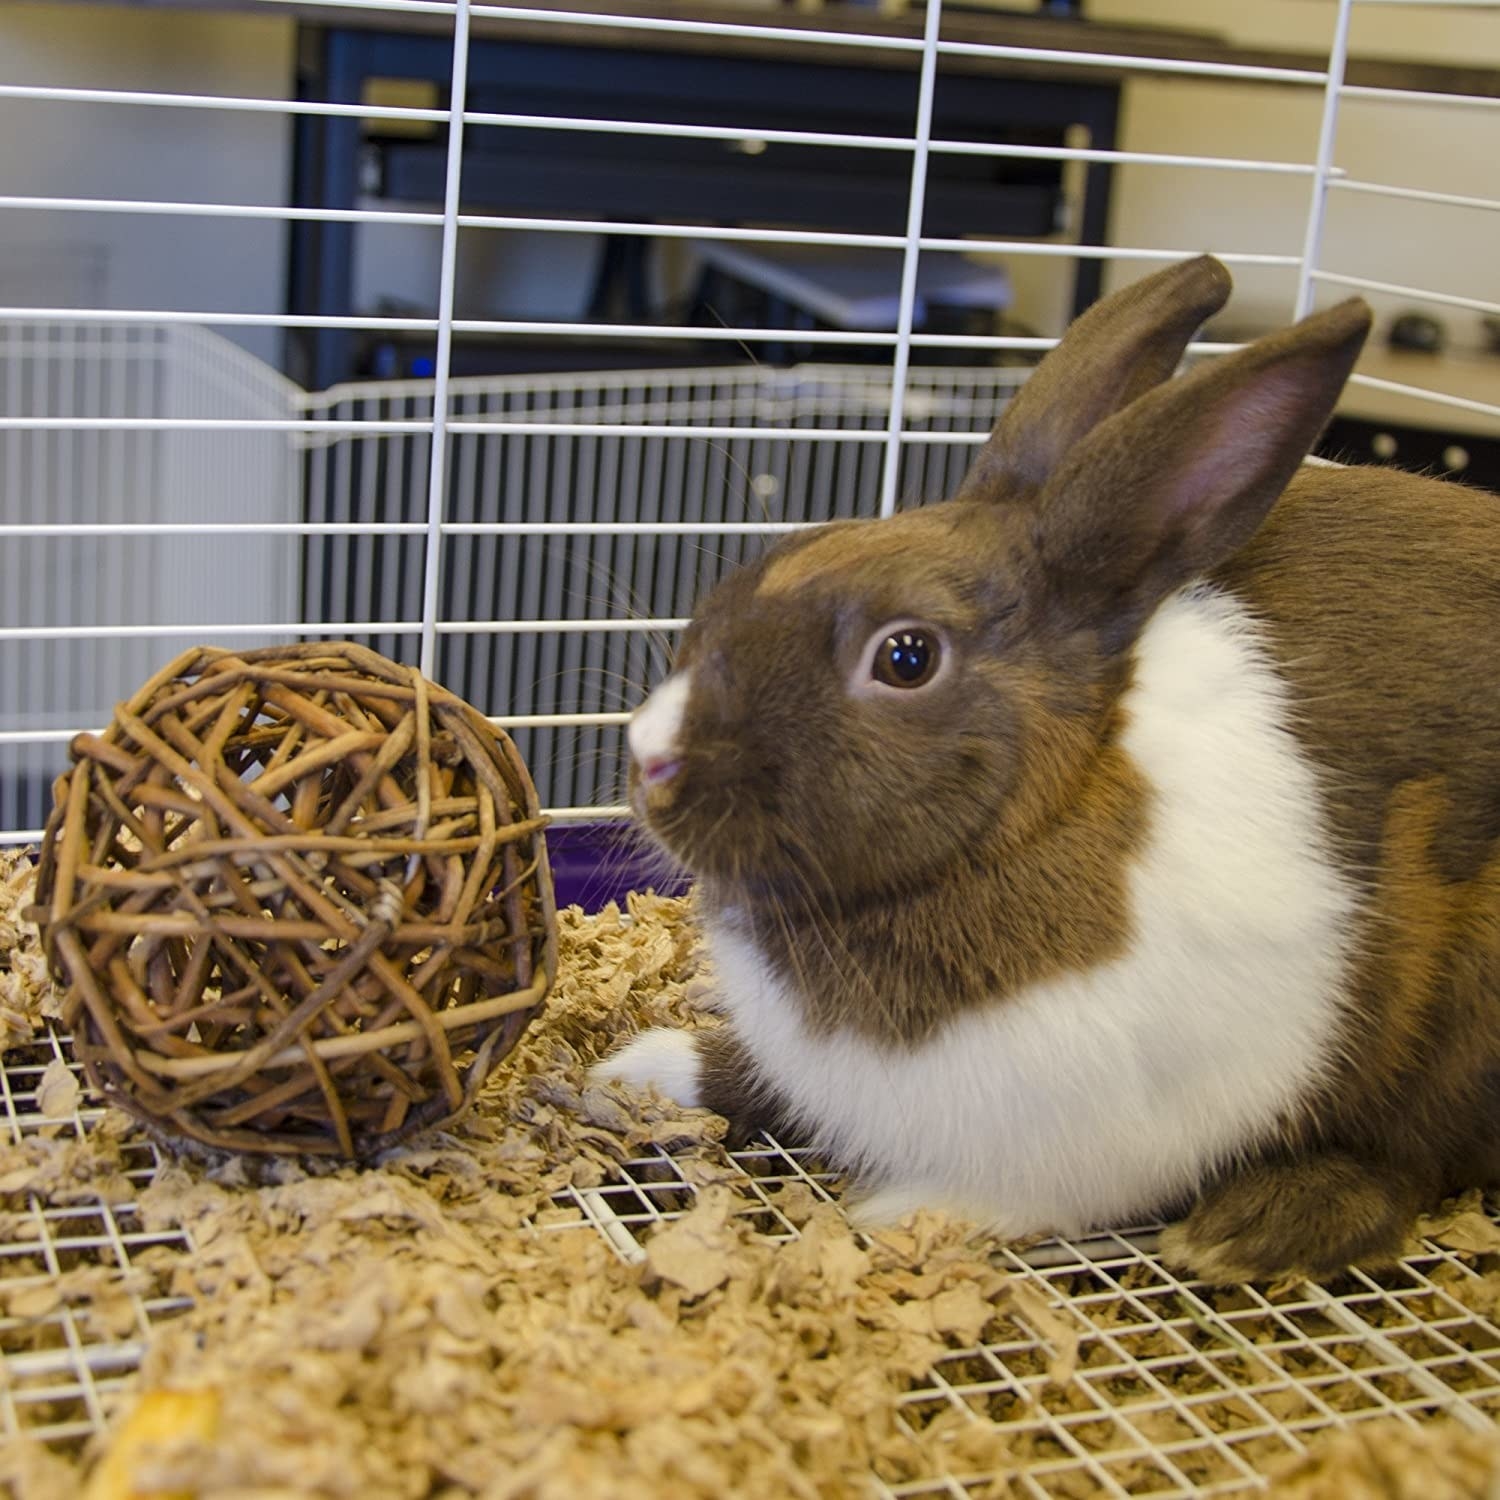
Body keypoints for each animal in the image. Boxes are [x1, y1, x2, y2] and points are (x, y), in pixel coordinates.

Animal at [588, 252, 1500, 1284]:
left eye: (907, 657)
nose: (651, 759)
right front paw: (641, 1069)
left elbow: (1030, 1194)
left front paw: (896, 1217)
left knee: (1411, 1158)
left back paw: (1259, 1224)